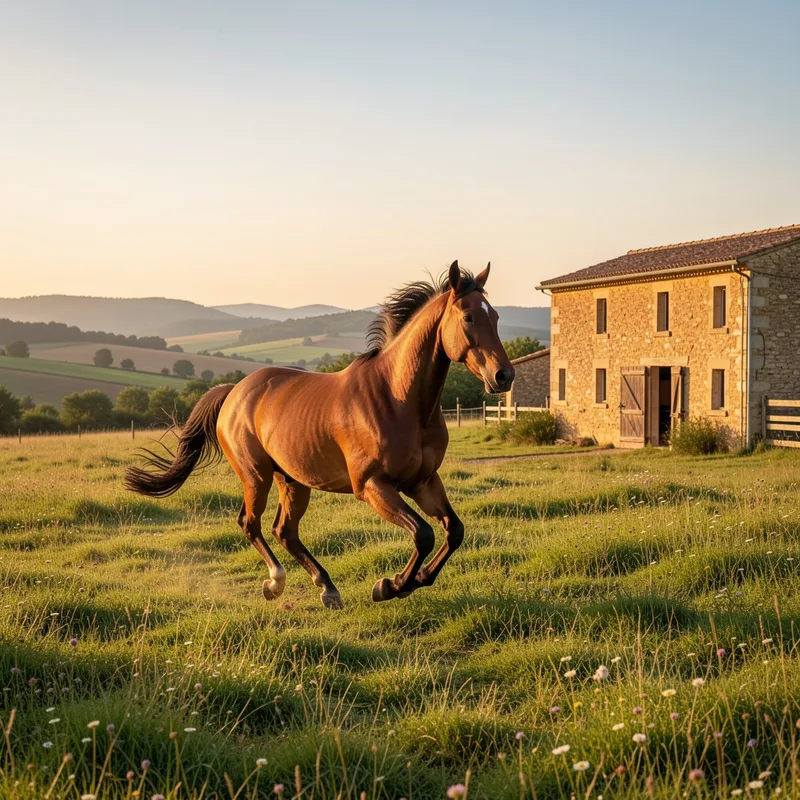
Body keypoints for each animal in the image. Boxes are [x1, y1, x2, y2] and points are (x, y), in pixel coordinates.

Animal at [125, 261, 514, 608]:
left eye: (496, 317)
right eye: (468, 317)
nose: (504, 376)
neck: (398, 398)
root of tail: (233, 392)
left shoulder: (423, 481)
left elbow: (453, 531)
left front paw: (415, 580)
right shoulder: (372, 485)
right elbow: (423, 533)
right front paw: (390, 586)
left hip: (293, 480)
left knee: (285, 531)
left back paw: (327, 588)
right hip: (256, 476)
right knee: (250, 523)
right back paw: (275, 583)